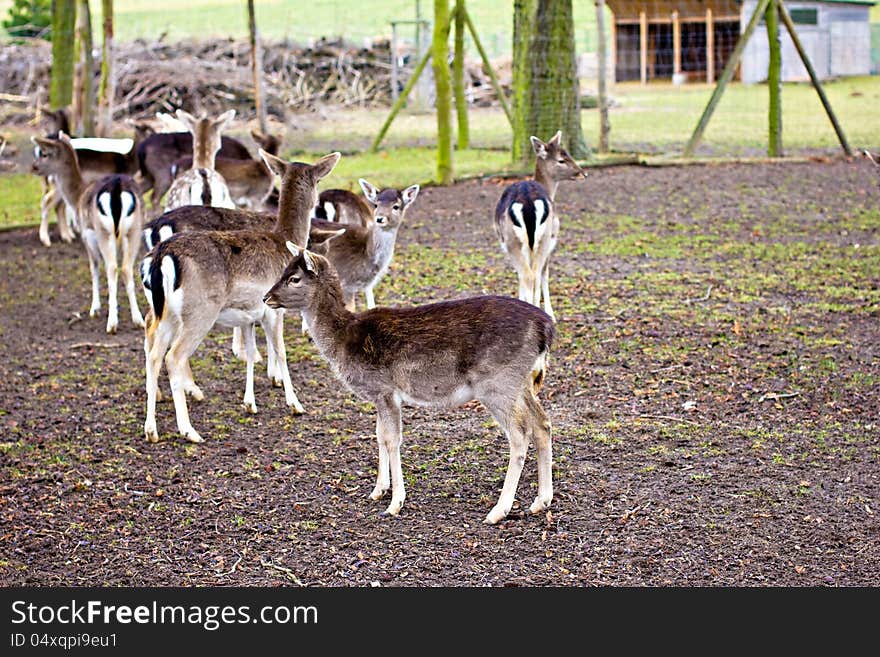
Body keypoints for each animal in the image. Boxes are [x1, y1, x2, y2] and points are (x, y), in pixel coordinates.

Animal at [31, 131, 146, 334]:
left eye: (44, 153)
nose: (34, 167)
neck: (77, 195)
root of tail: (117, 188)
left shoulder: (86, 233)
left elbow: (94, 267)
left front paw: (95, 308)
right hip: (134, 230)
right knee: (126, 267)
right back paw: (138, 319)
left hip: (103, 231)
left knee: (111, 267)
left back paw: (112, 323)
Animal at [141, 151, 340, 444]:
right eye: (319, 180)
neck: (284, 239)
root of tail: (161, 255)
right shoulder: (273, 308)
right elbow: (280, 351)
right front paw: (295, 404)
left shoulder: (249, 313)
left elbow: (249, 351)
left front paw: (250, 403)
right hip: (200, 311)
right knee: (173, 357)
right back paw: (189, 429)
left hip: (166, 313)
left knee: (155, 352)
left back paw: (151, 429)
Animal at [262, 243, 556, 524]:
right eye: (284, 271)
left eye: (294, 278)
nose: (266, 297)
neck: (343, 339)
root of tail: (546, 328)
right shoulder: (378, 395)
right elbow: (379, 435)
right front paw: (378, 490)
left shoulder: (385, 389)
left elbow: (393, 439)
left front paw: (395, 503)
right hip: (521, 382)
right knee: (542, 423)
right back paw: (541, 501)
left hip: (497, 383)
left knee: (520, 434)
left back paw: (498, 511)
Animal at [496, 130, 584, 320]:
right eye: (561, 159)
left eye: (568, 153)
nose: (582, 173)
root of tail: (528, 202)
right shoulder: (550, 241)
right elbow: (544, 273)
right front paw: (551, 313)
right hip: (541, 239)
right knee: (533, 274)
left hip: (518, 241)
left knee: (530, 274)